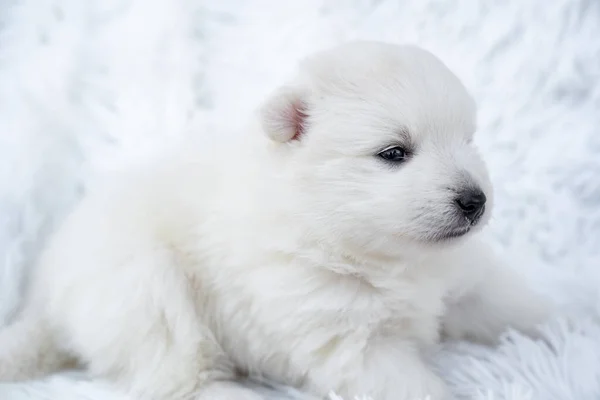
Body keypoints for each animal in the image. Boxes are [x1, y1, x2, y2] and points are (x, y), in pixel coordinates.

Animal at [0, 41, 552, 400]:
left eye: (469, 139)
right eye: (394, 152)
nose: (475, 200)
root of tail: (45, 302)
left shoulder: (462, 279)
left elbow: (511, 303)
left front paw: (564, 320)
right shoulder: (348, 340)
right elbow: (412, 385)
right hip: (144, 287)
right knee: (179, 372)